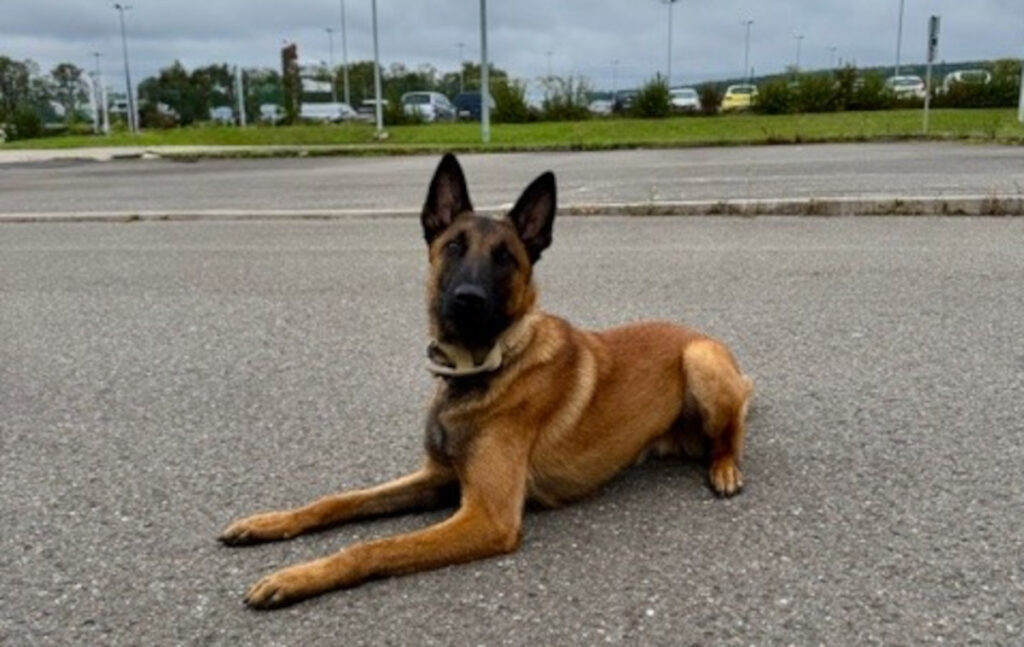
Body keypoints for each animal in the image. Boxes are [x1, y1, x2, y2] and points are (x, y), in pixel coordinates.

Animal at [219, 153, 753, 609]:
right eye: (454, 247)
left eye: (505, 257)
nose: (468, 300)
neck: (482, 368)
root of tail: (699, 334)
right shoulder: (439, 477)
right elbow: (339, 500)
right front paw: (268, 523)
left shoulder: (487, 517)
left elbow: (374, 547)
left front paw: (295, 577)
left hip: (701, 362)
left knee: (729, 437)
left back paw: (724, 469)